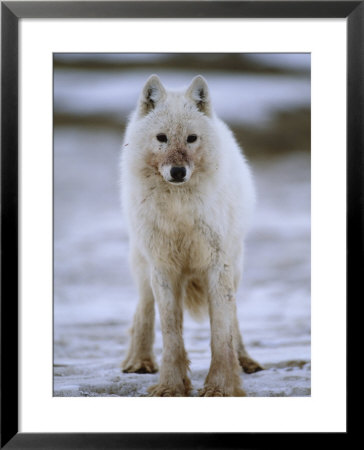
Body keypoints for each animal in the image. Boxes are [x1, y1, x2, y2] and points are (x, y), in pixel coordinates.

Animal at [121, 74, 262, 398]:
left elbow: (221, 333)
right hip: (144, 264)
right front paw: (171, 386)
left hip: (235, 267)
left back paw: (245, 360)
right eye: (162, 138)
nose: (177, 171)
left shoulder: (217, 266)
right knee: (143, 308)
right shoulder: (163, 268)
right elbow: (171, 333)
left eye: (191, 138)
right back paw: (138, 360)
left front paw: (221, 387)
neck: (179, 211)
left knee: (234, 318)